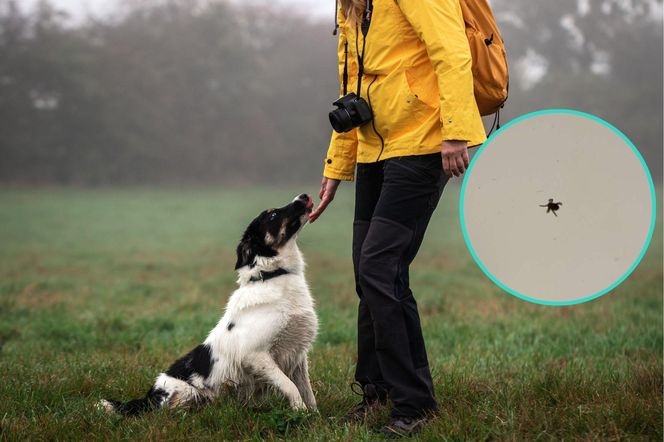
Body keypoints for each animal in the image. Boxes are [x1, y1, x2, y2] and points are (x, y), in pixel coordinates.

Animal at [100, 193, 320, 414]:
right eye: (273, 214)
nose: (304, 196)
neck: (272, 275)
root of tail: (148, 397)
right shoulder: (256, 356)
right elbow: (290, 386)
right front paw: (299, 410)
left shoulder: (298, 357)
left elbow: (307, 391)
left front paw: (313, 415)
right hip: (187, 393)